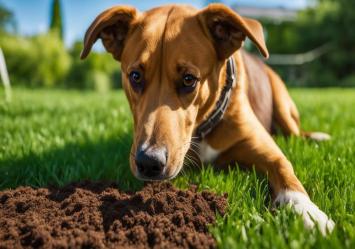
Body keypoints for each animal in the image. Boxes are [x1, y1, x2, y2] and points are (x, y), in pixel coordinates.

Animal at [82, 3, 336, 234]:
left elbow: (283, 166)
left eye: (189, 79)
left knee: (294, 132)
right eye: (135, 76)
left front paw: (307, 212)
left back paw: (317, 137)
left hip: (283, 102)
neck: (204, 128)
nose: (148, 162)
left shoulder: (265, 147)